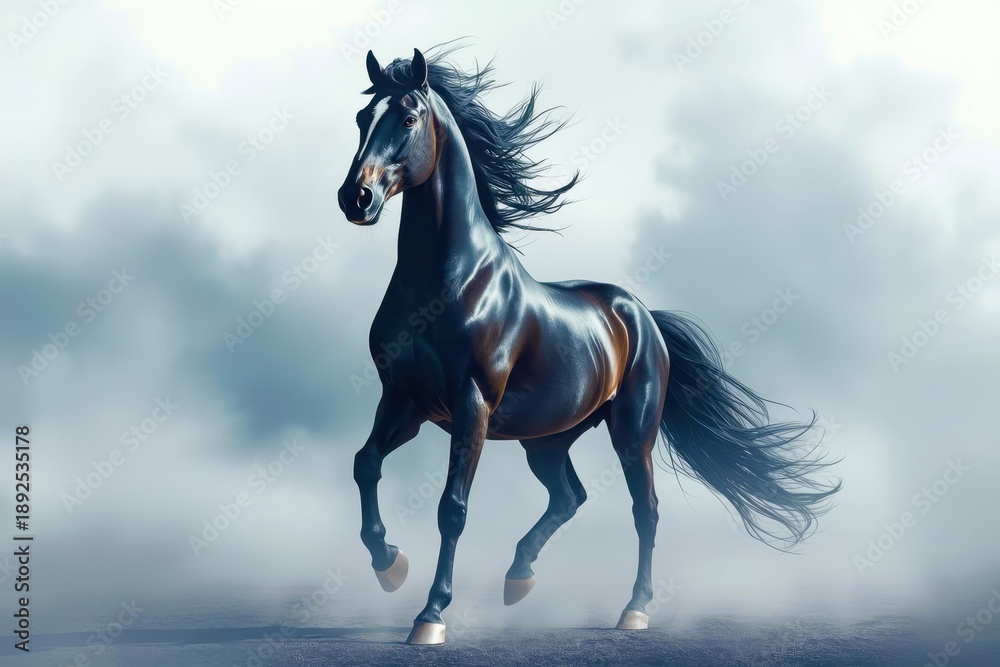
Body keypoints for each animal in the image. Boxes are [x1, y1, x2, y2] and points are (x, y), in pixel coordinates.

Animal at [337, 45, 841, 645]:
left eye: (409, 118)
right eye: (362, 118)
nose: (355, 198)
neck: (447, 284)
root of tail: (641, 315)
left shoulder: (471, 404)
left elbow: (452, 508)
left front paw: (430, 616)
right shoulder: (404, 401)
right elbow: (365, 464)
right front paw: (389, 564)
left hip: (632, 433)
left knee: (645, 510)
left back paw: (634, 610)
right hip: (546, 440)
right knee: (568, 496)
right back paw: (519, 577)